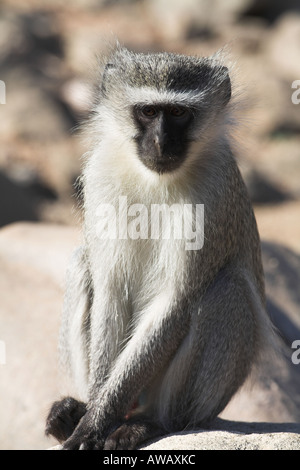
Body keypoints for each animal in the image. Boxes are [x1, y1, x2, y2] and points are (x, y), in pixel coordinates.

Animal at [45, 46, 274, 450]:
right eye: (149, 112)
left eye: (179, 114)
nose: (161, 143)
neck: (155, 179)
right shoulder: (101, 174)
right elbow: (110, 289)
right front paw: (92, 410)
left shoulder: (213, 196)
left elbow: (176, 300)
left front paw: (97, 420)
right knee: (83, 263)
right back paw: (72, 411)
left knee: (226, 291)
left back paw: (153, 422)